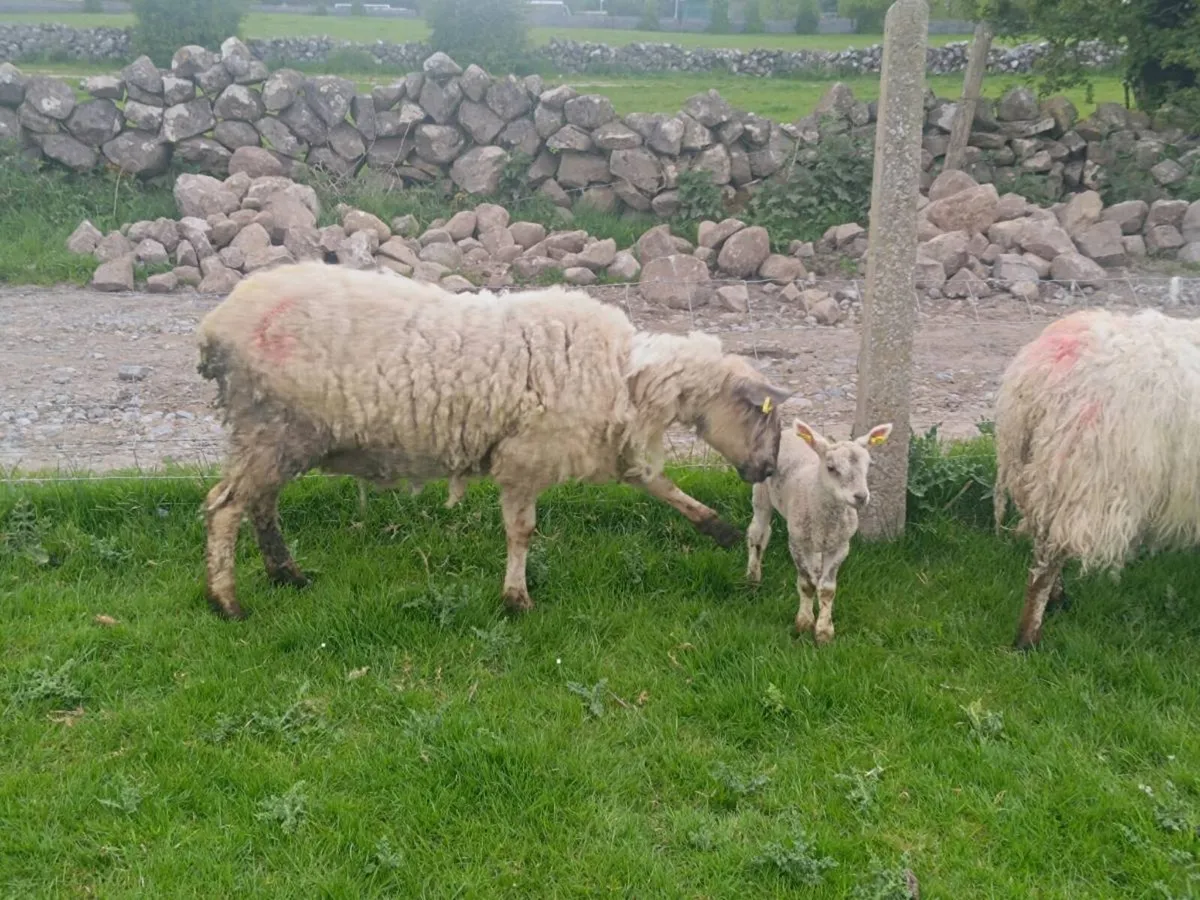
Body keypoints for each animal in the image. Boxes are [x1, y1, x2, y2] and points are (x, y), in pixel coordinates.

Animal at [196, 261, 794, 620]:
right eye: (765, 420)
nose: (766, 472)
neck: (628, 375)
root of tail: (215, 326)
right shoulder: (525, 456)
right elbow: (522, 531)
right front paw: (516, 598)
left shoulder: (600, 442)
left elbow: (654, 482)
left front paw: (715, 525)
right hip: (274, 425)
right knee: (226, 508)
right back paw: (227, 600)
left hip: (275, 435)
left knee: (260, 505)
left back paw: (286, 574)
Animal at [744, 418, 893, 645]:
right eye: (831, 467)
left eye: (869, 465)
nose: (861, 497)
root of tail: (788, 431)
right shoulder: (796, 541)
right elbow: (806, 584)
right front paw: (804, 623)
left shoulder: (841, 545)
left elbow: (827, 589)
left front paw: (824, 632)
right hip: (761, 492)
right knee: (758, 534)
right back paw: (752, 578)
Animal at [993, 307, 1200, 649]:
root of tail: (1040, 372)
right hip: (1090, 477)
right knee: (1046, 562)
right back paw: (1028, 638)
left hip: (1043, 470)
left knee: (1043, 539)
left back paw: (1056, 602)